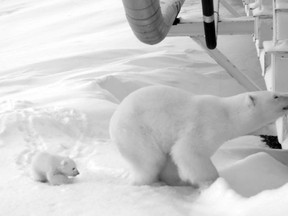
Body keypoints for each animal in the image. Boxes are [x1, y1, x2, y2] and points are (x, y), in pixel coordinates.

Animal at [108, 85, 288, 186]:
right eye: (275, 96)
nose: (287, 95)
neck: (227, 114)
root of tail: (113, 122)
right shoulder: (205, 126)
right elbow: (189, 151)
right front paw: (211, 181)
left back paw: (177, 182)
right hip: (136, 132)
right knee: (150, 160)